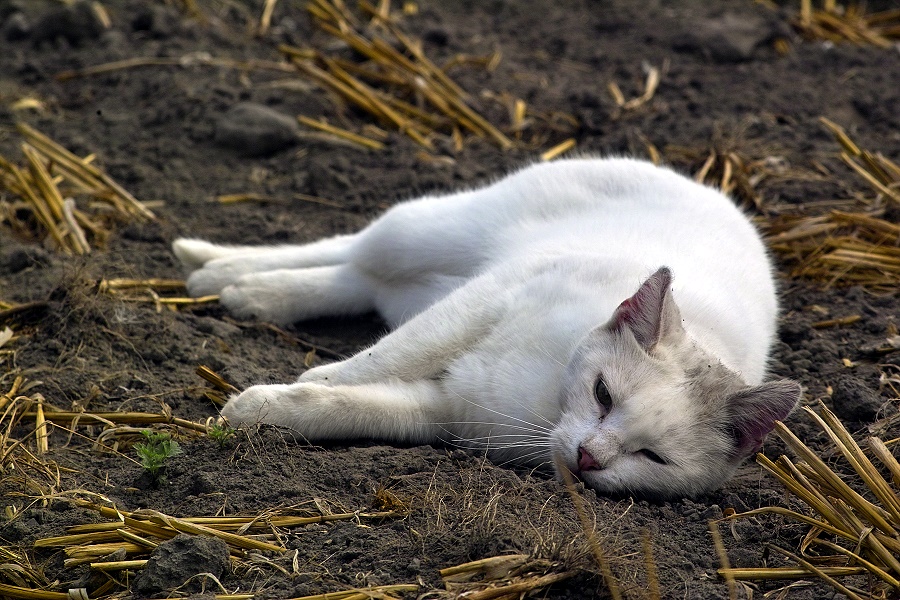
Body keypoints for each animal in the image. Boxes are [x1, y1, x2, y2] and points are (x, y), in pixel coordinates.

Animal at [172, 157, 800, 500]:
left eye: (655, 458)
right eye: (603, 394)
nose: (589, 458)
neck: (547, 402)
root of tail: (712, 190)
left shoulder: (448, 409)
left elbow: (352, 407)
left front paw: (265, 409)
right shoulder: (488, 296)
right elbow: (380, 361)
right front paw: (310, 380)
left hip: (413, 282)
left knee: (355, 279)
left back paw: (248, 292)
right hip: (426, 233)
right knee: (352, 248)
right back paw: (213, 268)